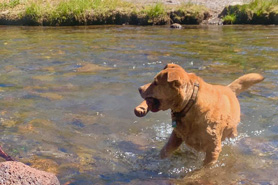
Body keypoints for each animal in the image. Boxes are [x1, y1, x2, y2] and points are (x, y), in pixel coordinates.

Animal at [134, 64, 262, 166]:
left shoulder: (213, 149)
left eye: (155, 83)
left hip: (232, 132)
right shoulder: (176, 136)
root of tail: (228, 88)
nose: (139, 88)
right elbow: (165, 151)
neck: (190, 103)